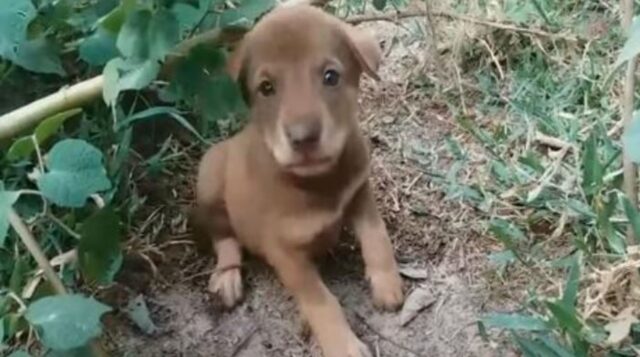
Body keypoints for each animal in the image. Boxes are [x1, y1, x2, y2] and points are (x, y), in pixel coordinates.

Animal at [195, 4, 402, 354]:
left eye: (330, 76)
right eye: (266, 87)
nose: (303, 137)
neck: (320, 181)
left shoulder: (359, 192)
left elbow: (377, 237)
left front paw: (387, 282)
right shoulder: (285, 253)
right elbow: (321, 301)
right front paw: (343, 344)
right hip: (209, 178)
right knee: (224, 237)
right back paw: (227, 277)